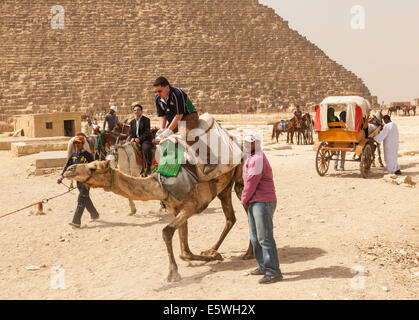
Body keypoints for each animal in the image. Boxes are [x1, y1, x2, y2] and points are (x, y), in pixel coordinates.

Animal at [62, 161, 253, 282]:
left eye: (93, 168)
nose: (69, 169)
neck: (160, 186)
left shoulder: (191, 206)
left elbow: (166, 232)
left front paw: (173, 274)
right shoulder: (178, 209)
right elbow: (185, 251)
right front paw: (210, 256)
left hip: (241, 180)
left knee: (247, 206)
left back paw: (248, 254)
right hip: (225, 188)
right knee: (230, 217)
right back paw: (213, 250)